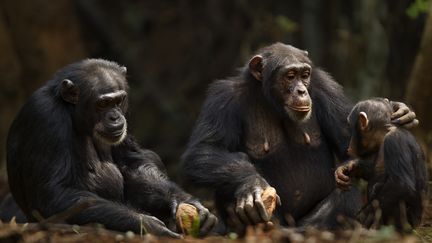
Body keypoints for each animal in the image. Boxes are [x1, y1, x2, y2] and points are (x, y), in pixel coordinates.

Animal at [5, 58, 216, 237]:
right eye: (103, 103)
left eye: (118, 101)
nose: (115, 116)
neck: (73, 113)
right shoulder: (46, 116)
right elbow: (56, 192)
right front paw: (146, 224)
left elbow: (132, 161)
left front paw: (184, 200)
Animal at [332, 98, 426, 231]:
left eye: (350, 126)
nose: (349, 145)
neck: (385, 133)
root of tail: (418, 225)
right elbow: (370, 170)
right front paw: (347, 167)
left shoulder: (394, 142)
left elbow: (401, 186)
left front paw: (367, 215)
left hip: (408, 224)